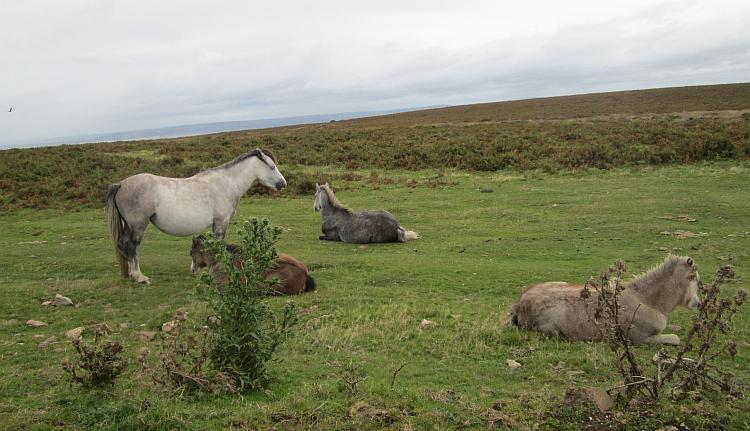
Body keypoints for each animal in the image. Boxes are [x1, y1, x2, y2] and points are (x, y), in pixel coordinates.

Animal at [106, 148, 286, 284]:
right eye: (272, 167)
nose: (283, 184)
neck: (226, 184)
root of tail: (120, 185)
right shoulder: (221, 222)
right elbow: (218, 245)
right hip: (138, 226)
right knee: (131, 246)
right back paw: (139, 277)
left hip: (130, 226)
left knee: (123, 245)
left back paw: (130, 275)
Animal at [509, 255, 702, 345]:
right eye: (696, 280)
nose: (698, 303)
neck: (646, 300)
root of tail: (519, 304)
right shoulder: (641, 339)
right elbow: (675, 339)